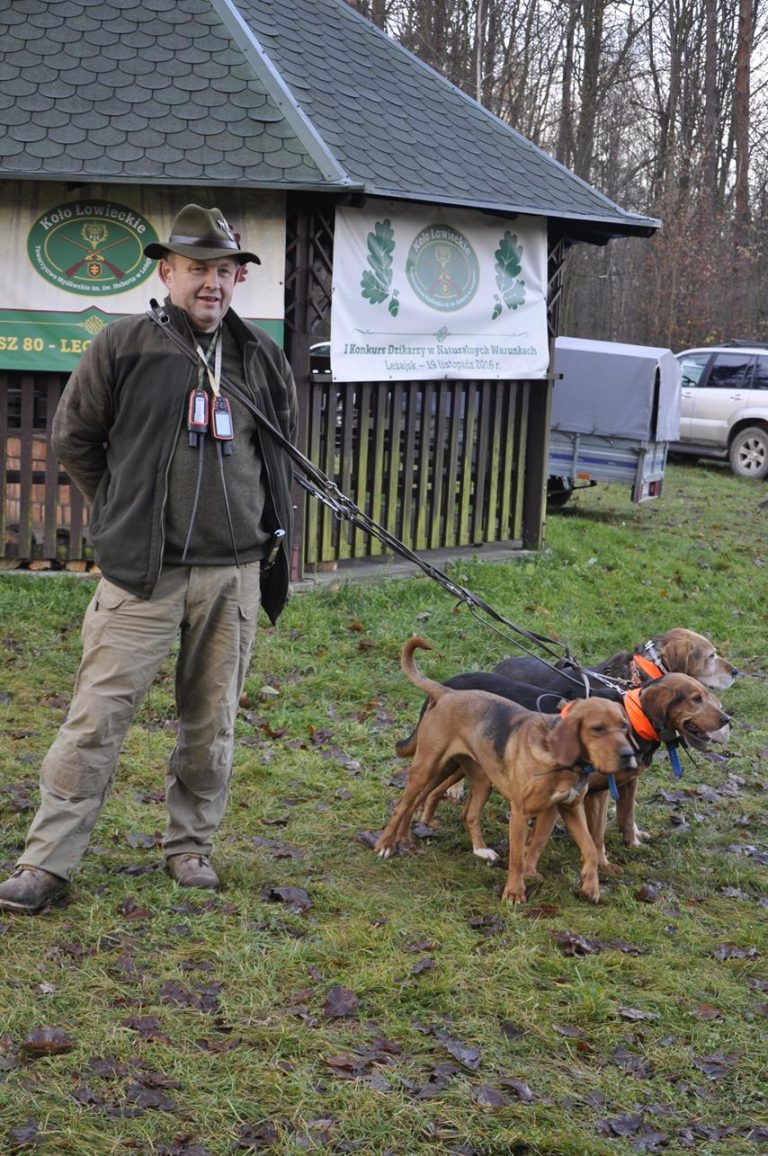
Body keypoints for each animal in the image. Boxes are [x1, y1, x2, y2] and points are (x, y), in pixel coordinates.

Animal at [377, 642, 633, 901]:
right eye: (597, 728)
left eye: (624, 726)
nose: (628, 755)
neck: (562, 761)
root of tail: (447, 693)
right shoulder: (520, 813)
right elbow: (518, 858)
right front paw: (514, 892)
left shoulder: (571, 808)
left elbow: (590, 847)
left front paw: (591, 886)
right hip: (427, 769)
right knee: (403, 806)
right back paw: (386, 845)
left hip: (478, 779)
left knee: (466, 814)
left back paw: (476, 849)